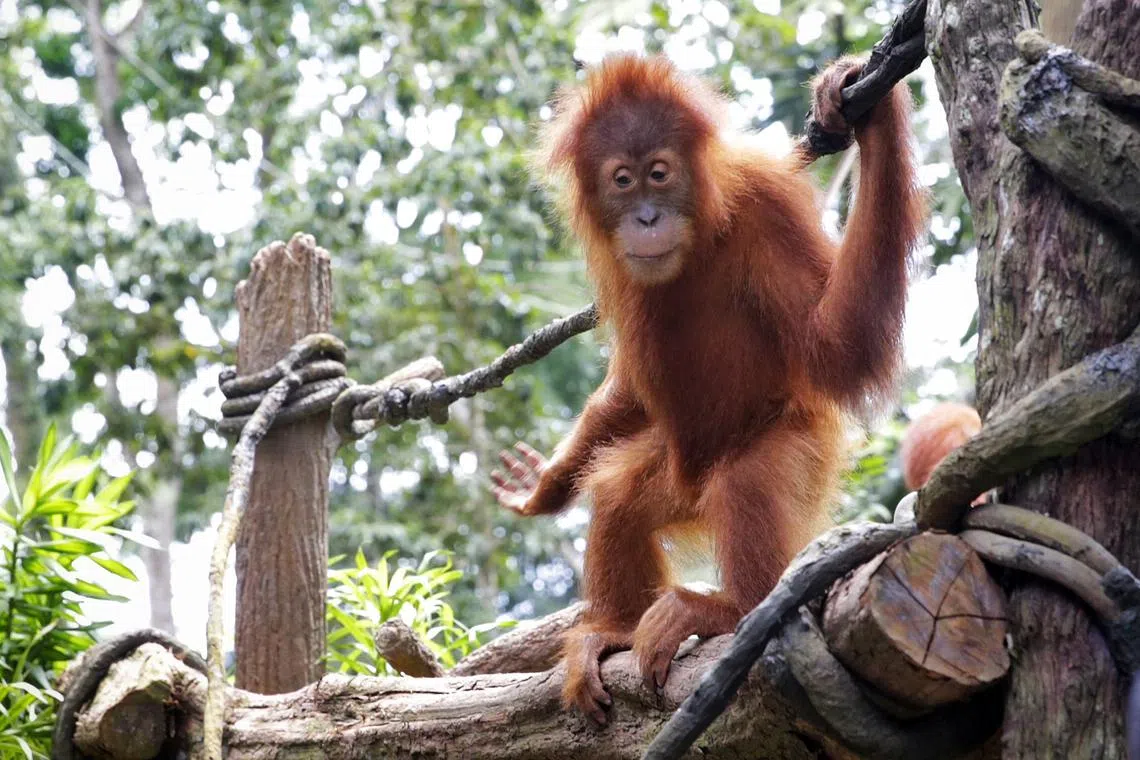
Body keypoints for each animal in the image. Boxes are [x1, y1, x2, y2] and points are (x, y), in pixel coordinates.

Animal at [490, 54, 925, 723]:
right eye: (623, 181)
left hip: (799, 447)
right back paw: (614, 627)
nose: (647, 217)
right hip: (672, 472)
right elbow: (629, 394)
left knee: (745, 481)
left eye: (660, 173)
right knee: (618, 491)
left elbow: (835, 347)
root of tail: (693, 487)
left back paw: (731, 611)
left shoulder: (767, 206)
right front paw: (544, 486)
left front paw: (870, 116)